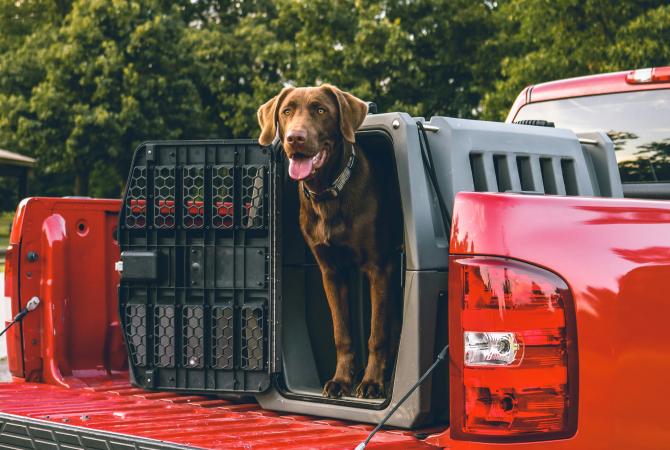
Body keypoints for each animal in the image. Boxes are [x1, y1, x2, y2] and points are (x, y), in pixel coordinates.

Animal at [260, 84, 402, 398]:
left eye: (320, 110)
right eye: (287, 111)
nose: (295, 138)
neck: (328, 194)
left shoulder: (380, 268)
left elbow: (377, 333)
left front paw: (371, 382)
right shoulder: (331, 272)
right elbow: (341, 333)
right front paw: (342, 380)